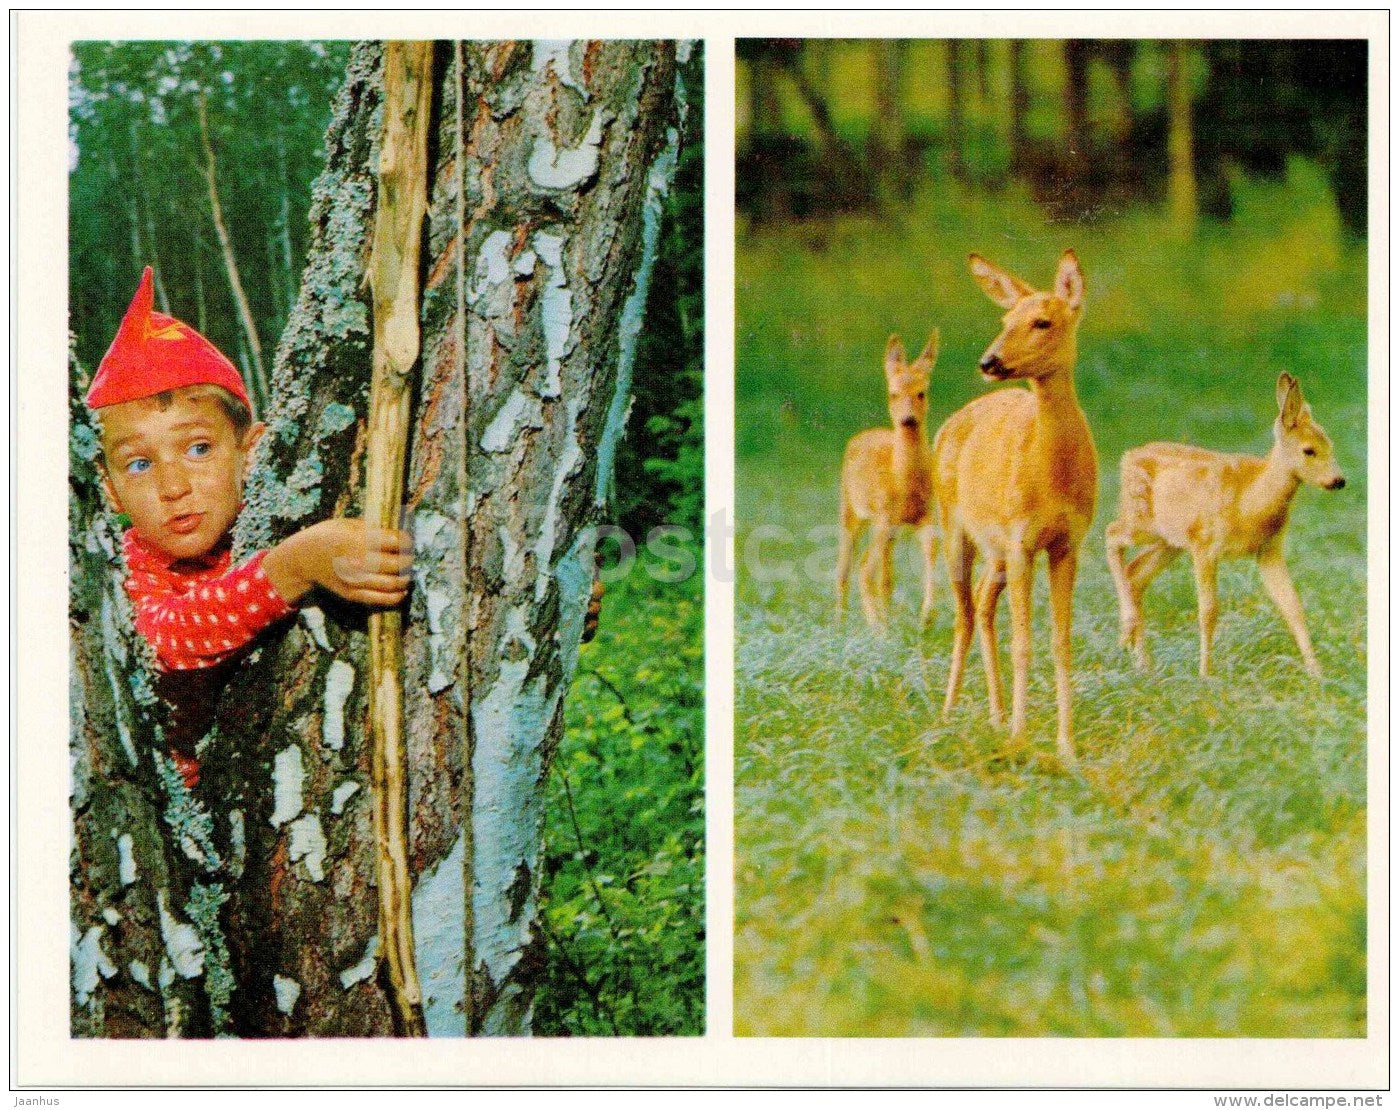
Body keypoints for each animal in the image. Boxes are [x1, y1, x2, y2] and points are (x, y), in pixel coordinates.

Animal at [837, 332, 940, 631]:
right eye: (893, 393)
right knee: (848, 567)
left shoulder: (925, 514)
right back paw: (840, 625)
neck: (902, 483)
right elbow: (865, 571)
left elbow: (932, 550)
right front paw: (878, 630)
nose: (908, 420)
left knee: (884, 575)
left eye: (921, 392)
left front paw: (927, 616)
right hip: (851, 509)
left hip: (887, 529)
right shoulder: (883, 516)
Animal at [935, 251, 1097, 766]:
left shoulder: (1068, 542)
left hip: (997, 551)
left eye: (1042, 321)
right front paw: (1023, 740)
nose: (989, 361)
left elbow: (1061, 642)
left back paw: (997, 714)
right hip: (955, 529)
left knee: (984, 602)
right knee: (964, 614)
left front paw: (1066, 746)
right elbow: (1022, 642)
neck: (1052, 477)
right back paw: (949, 715)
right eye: (1004, 321)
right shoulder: (1022, 539)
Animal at [1105, 372, 1345, 679]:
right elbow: (1208, 611)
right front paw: (1205, 673)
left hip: (1170, 541)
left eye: (1331, 445)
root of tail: (1127, 457)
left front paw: (1317, 673)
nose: (1339, 481)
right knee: (1111, 534)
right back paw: (1127, 633)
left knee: (1135, 572)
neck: (1249, 501)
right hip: (1141, 519)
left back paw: (1143, 663)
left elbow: (1292, 605)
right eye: (1309, 450)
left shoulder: (1268, 550)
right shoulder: (1204, 544)